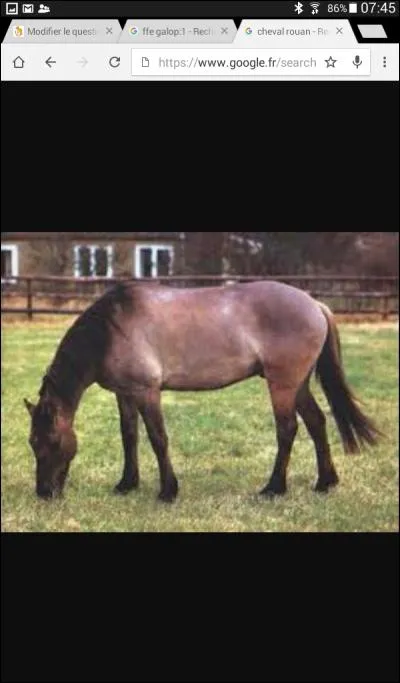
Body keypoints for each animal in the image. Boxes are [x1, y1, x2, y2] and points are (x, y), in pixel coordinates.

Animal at [24, 280, 380, 501]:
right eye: (32, 442)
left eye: (50, 441)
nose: (44, 492)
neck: (111, 329)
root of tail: (315, 304)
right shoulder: (125, 394)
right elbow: (130, 436)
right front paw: (127, 484)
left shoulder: (147, 391)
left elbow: (158, 438)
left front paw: (168, 491)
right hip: (298, 384)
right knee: (317, 422)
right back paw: (324, 482)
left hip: (283, 384)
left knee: (288, 428)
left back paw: (274, 488)